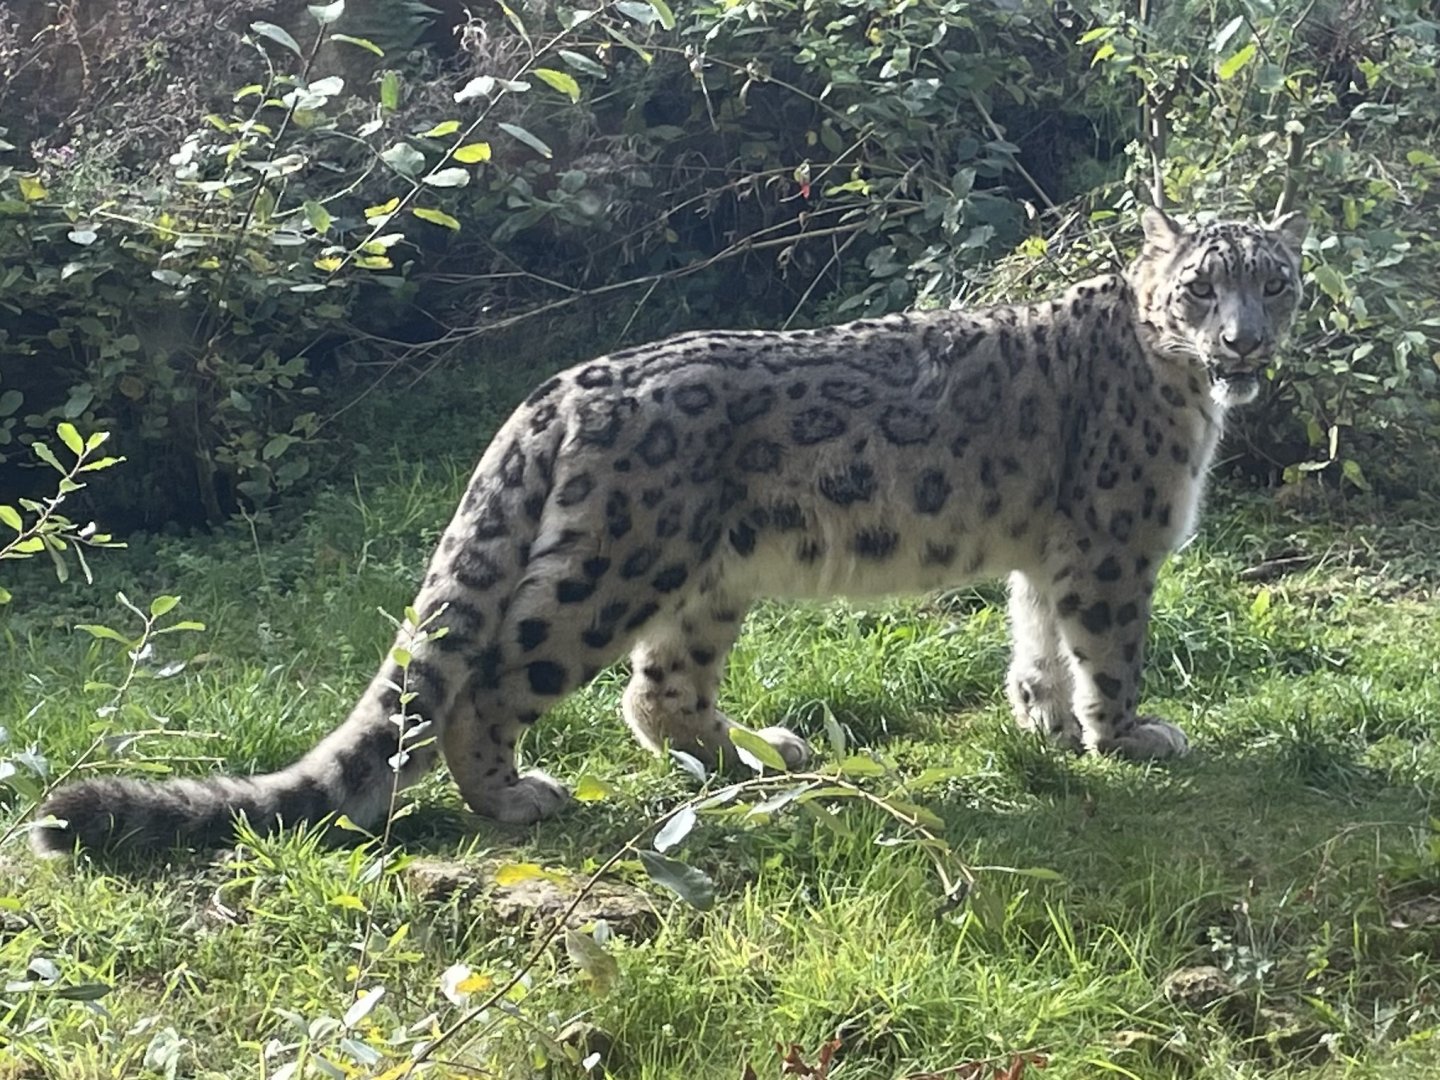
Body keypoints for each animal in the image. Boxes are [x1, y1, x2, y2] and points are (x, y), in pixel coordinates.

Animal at [31, 206, 1307, 857]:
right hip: (608, 570)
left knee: (657, 694)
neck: (1189, 397)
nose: (1243, 340)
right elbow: (1109, 644)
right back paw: (517, 798)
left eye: (1277, 280)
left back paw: (755, 755)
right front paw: (1129, 735)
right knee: (489, 684)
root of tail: (553, 388)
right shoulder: (1113, 540)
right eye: (1204, 288)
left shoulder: (1046, 549)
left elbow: (1036, 639)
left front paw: (1044, 722)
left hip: (707, 578)